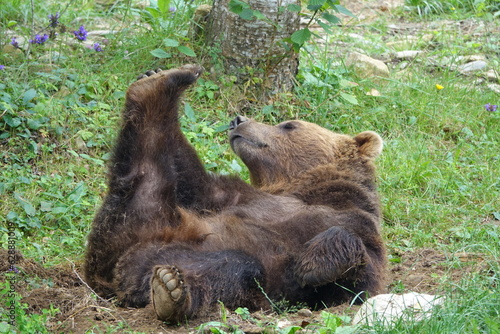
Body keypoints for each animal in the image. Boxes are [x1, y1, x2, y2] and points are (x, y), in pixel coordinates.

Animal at [84, 64, 384, 322]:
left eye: (289, 124)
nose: (239, 119)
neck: (308, 191)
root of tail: (111, 276)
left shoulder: (357, 226)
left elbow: (355, 278)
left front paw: (310, 266)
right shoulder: (236, 196)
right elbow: (193, 180)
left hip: (144, 236)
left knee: (236, 267)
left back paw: (171, 288)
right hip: (138, 220)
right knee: (147, 162)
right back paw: (160, 81)